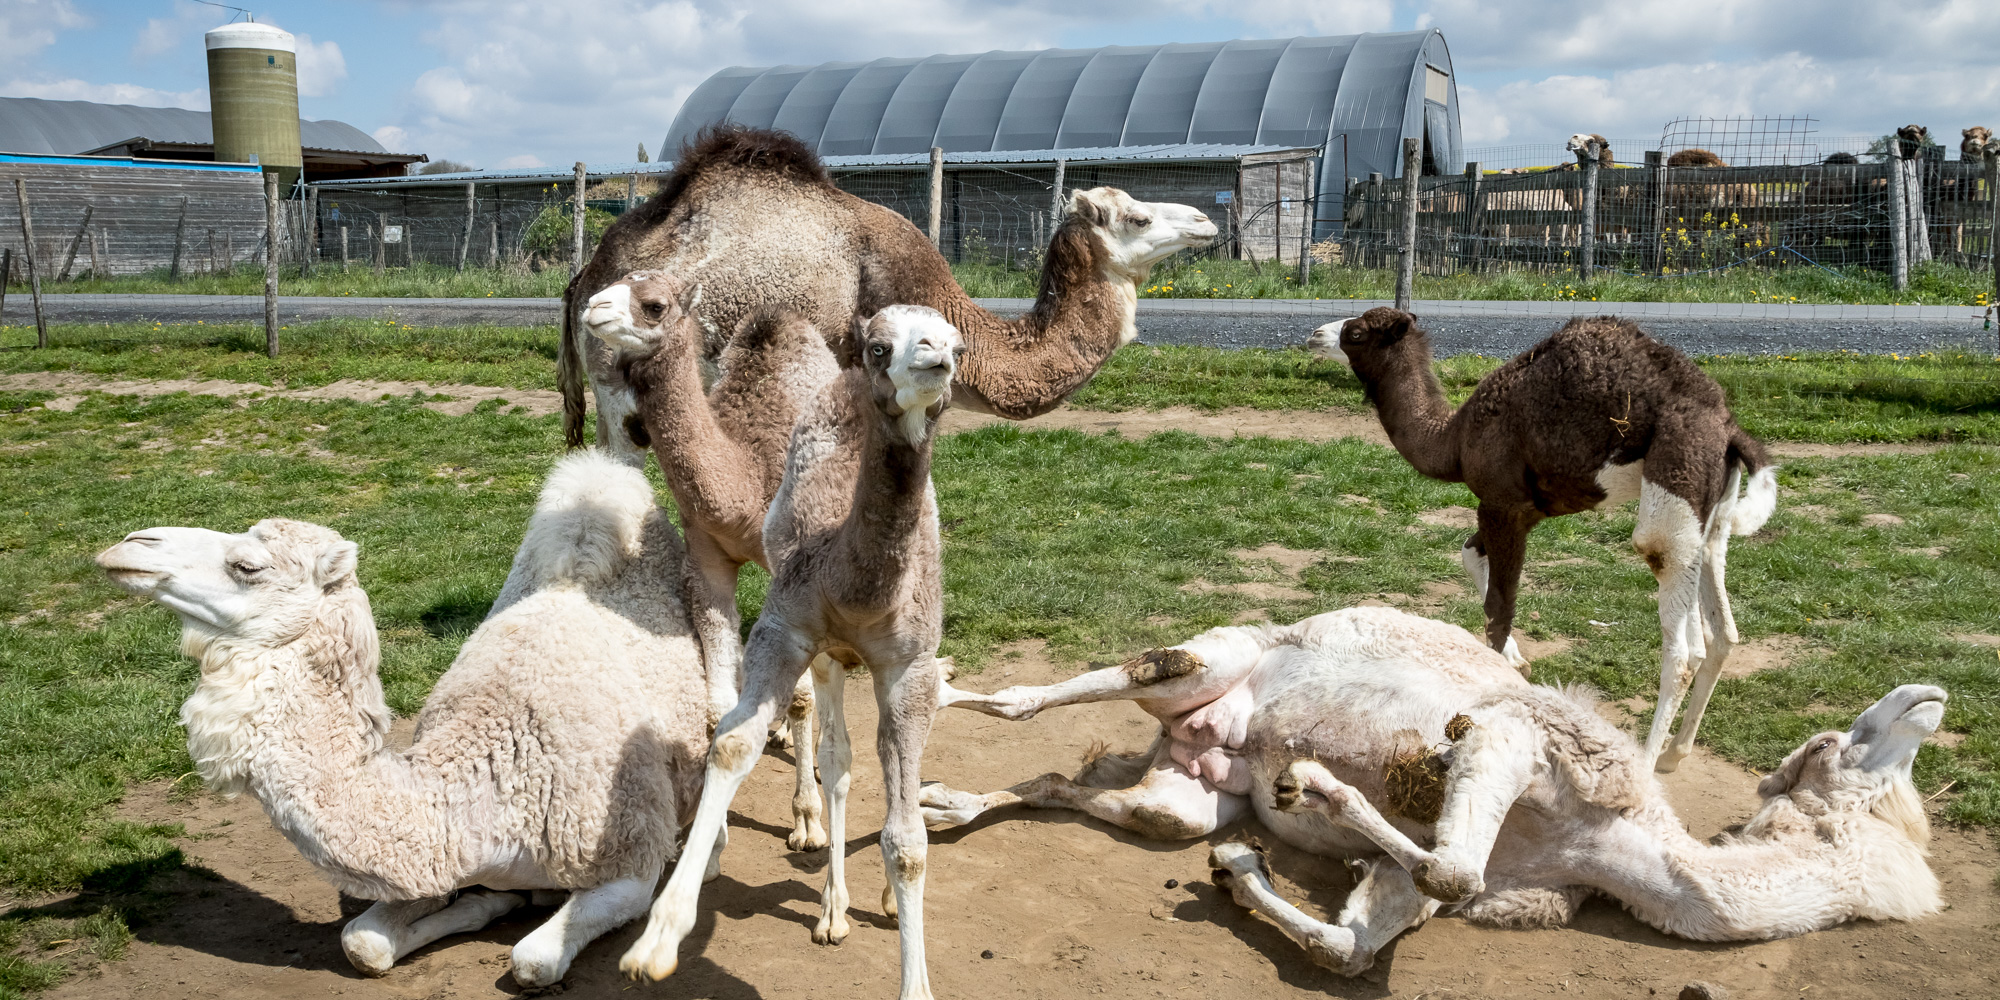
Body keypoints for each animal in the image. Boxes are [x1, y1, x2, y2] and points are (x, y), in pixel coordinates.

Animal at [99, 452, 720, 984]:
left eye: (248, 566)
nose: (129, 544)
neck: (493, 780)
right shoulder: (440, 860)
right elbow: (362, 941)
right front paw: (487, 903)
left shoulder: (629, 857)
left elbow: (532, 961)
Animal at [624, 304, 968, 1000]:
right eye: (879, 345)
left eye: (960, 345)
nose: (935, 359)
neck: (855, 585)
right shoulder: (787, 626)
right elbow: (734, 744)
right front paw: (658, 939)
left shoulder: (909, 669)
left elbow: (908, 840)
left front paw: (914, 979)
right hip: (827, 653)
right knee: (836, 757)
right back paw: (832, 908)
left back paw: (873, 901)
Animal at [924, 604, 1952, 972]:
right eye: (1847, 738)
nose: (1930, 692)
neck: (1612, 851)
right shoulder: (1517, 738)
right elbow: (1454, 863)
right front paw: (1317, 786)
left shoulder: (1457, 878)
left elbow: (1362, 935)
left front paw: (1245, 868)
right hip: (1219, 655)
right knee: (1067, 688)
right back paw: (936, 690)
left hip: (1187, 789)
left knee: (1089, 789)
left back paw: (948, 805)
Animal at [1312, 308, 1784, 776]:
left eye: (1356, 333)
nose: (1315, 334)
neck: (1455, 439)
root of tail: (1730, 430)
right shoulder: (1529, 509)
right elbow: (1470, 554)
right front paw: (1516, 661)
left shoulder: (1502, 504)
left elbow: (1498, 612)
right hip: (1712, 515)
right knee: (1720, 629)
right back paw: (1674, 753)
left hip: (1675, 478)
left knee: (1681, 641)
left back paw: (1647, 762)